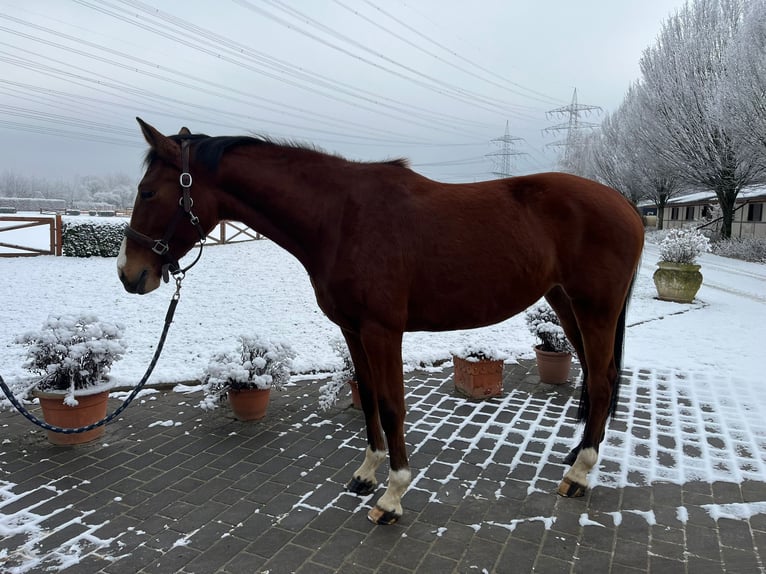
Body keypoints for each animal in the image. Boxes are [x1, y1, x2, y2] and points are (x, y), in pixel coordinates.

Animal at [120, 119, 644, 528]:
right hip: (565, 304)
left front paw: (392, 496)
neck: (341, 218)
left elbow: (392, 406)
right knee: (596, 375)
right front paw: (366, 473)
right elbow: (369, 396)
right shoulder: (352, 329)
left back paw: (578, 475)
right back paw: (578, 456)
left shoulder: (381, 331)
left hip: (594, 310)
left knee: (601, 381)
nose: (129, 273)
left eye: (148, 192)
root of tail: (626, 205)